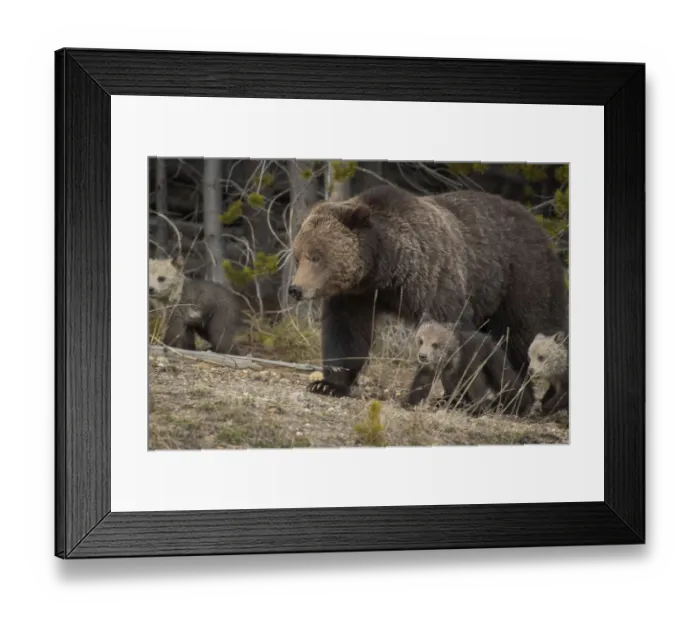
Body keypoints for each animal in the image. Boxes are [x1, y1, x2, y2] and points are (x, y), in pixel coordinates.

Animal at [288, 184, 568, 402]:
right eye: (298, 257)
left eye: (316, 256)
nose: (295, 289)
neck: (387, 269)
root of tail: (540, 228)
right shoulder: (357, 295)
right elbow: (345, 332)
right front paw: (327, 384)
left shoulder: (434, 280)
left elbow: (451, 332)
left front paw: (455, 395)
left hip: (522, 281)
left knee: (526, 333)